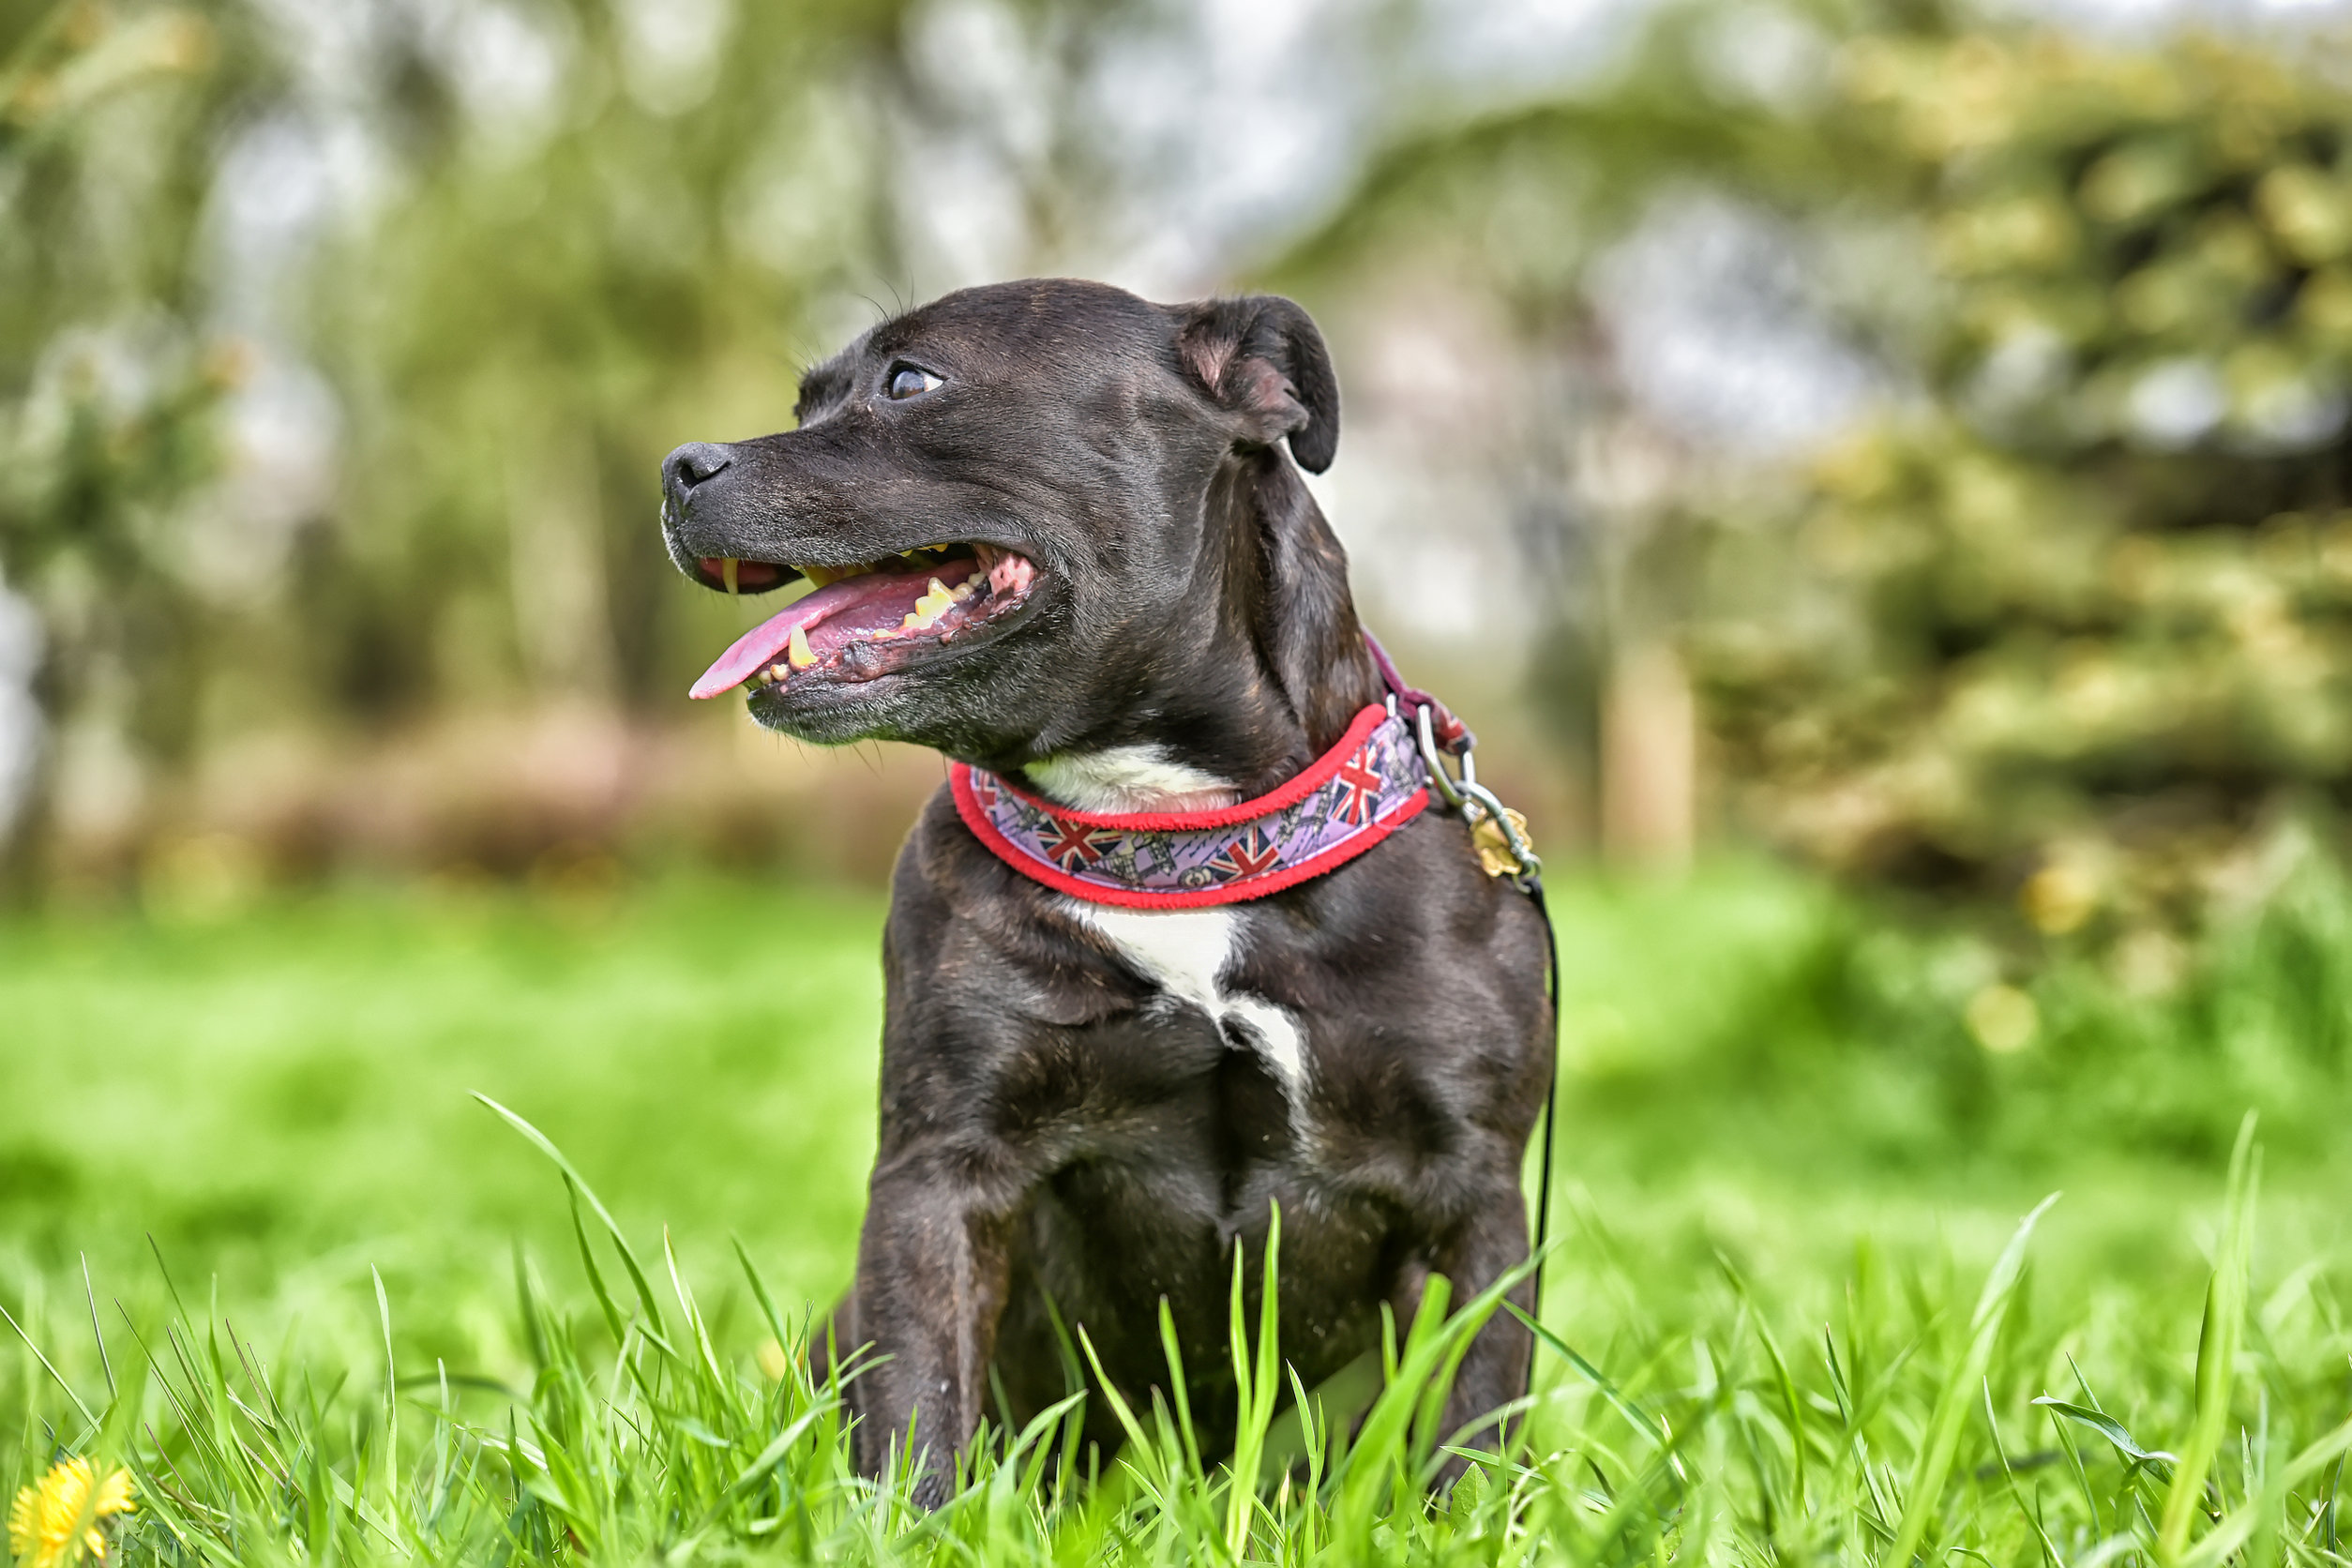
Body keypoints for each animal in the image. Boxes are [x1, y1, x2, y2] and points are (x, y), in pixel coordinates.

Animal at [654, 276, 1552, 1504]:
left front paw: (1461, 1518)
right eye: (807, 403)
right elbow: (920, 1394)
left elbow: (1470, 1423)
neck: (1168, 834)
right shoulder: (944, 1170)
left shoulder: (1470, 1198)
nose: (679, 466)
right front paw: (911, 1519)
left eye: (908, 382)